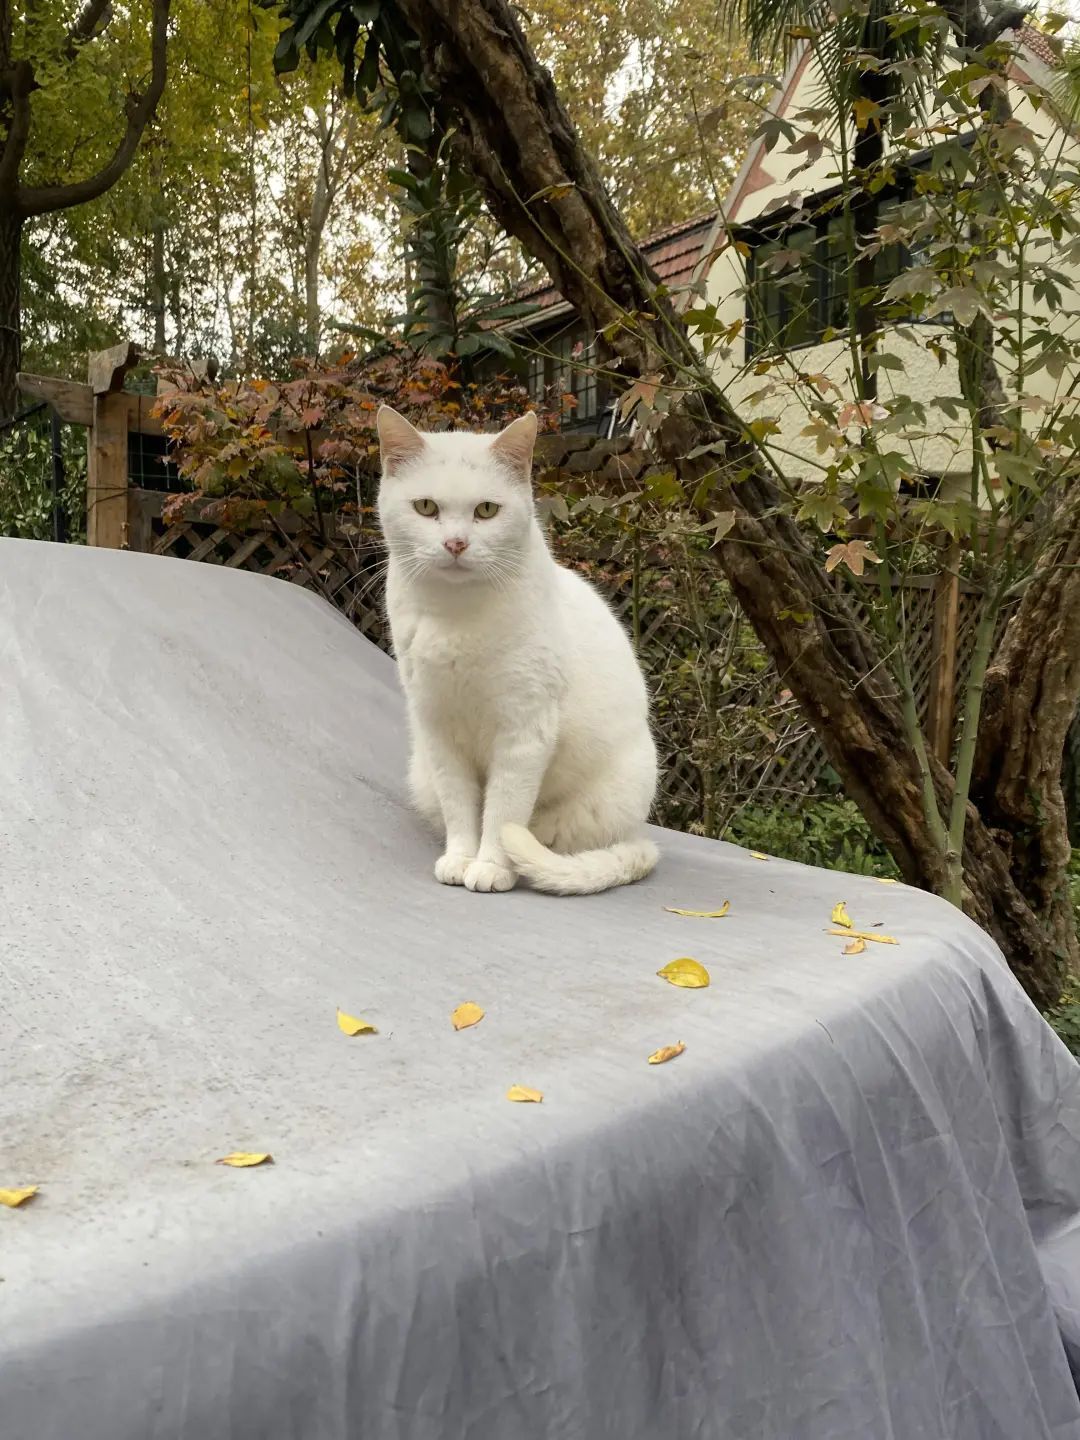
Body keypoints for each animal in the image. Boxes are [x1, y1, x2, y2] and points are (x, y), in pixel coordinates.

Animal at [377, 404, 659, 895]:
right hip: (422, 773)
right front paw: (460, 858)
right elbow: (460, 806)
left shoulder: (525, 732)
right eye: (426, 507)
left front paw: (490, 866)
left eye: (486, 510)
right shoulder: (438, 729)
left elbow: (503, 810)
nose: (455, 544)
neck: (456, 617)